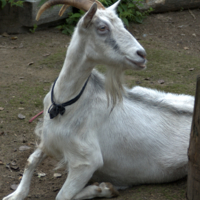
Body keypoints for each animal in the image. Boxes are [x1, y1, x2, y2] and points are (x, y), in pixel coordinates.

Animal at [2, 0, 194, 200]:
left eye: (122, 24)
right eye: (102, 27)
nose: (142, 54)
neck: (66, 104)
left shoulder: (86, 162)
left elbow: (63, 196)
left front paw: (105, 188)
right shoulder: (48, 138)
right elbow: (30, 161)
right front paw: (14, 195)